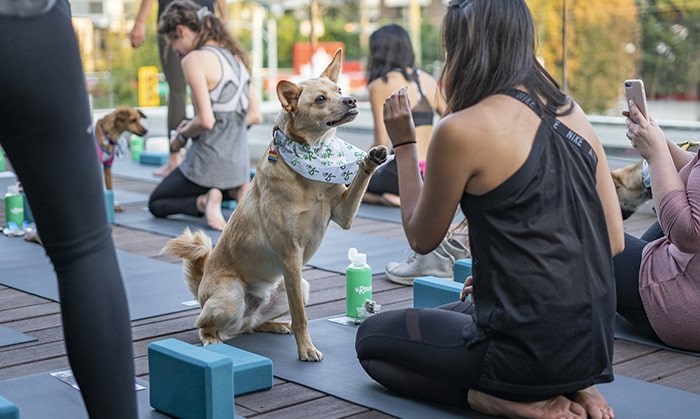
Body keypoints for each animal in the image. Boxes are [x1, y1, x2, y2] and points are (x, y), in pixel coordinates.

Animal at [161, 50, 388, 362]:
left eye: (340, 90)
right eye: (320, 99)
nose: (352, 100)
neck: (312, 160)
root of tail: (201, 290)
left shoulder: (343, 215)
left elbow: (359, 180)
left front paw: (371, 157)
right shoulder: (291, 256)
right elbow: (301, 316)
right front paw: (306, 349)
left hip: (300, 286)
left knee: (249, 326)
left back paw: (276, 325)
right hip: (232, 295)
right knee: (206, 324)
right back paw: (212, 339)